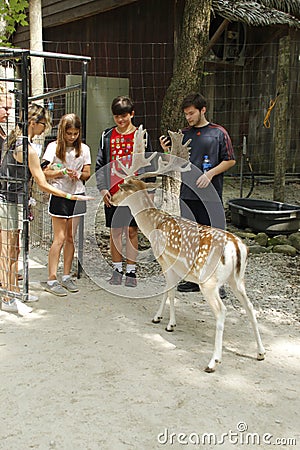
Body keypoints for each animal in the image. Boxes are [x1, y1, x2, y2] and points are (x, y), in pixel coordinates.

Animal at [110, 125, 264, 372]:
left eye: (124, 187)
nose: (111, 198)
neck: (154, 225)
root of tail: (237, 247)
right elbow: (168, 290)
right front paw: (159, 318)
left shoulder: (165, 259)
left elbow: (169, 290)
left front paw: (168, 323)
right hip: (237, 279)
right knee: (250, 307)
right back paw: (260, 352)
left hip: (209, 280)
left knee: (222, 311)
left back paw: (213, 361)